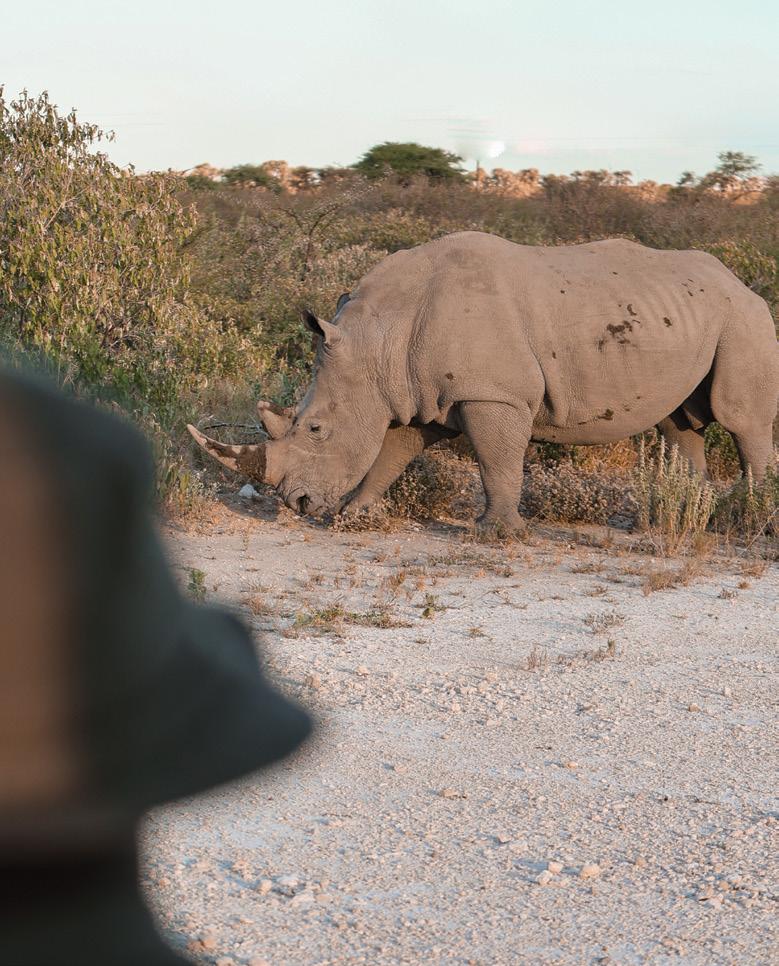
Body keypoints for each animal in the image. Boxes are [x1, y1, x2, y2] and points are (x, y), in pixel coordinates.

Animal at [189, 231, 778, 532]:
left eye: (314, 430)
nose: (299, 505)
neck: (378, 340)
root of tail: (740, 280)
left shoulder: (492, 392)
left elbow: (497, 461)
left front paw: (496, 533)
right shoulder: (416, 391)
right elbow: (392, 453)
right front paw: (355, 515)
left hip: (746, 318)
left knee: (740, 419)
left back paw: (749, 517)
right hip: (690, 317)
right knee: (679, 424)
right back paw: (679, 519)